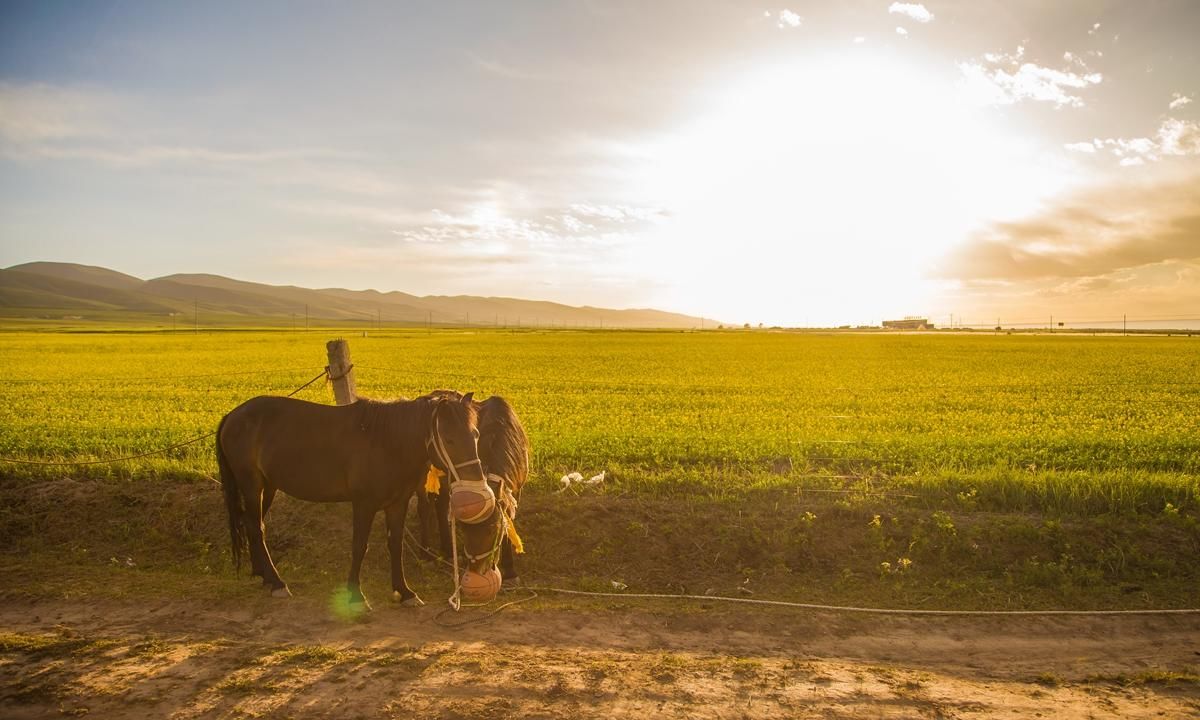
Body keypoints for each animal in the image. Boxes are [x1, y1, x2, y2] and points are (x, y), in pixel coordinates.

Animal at [216, 391, 482, 604]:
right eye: (449, 439)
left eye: (476, 435)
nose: (475, 480)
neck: (386, 442)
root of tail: (233, 415)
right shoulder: (364, 504)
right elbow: (359, 546)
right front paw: (356, 594)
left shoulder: (397, 504)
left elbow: (395, 545)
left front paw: (404, 592)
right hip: (252, 486)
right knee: (256, 528)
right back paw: (277, 582)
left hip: (268, 487)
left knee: (252, 525)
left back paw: (263, 575)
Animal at [417, 393, 530, 585]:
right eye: (464, 529)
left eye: (492, 530)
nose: (476, 569)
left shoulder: (515, 490)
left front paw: (510, 570)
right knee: (425, 508)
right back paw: (426, 553)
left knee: (440, 505)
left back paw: (448, 550)